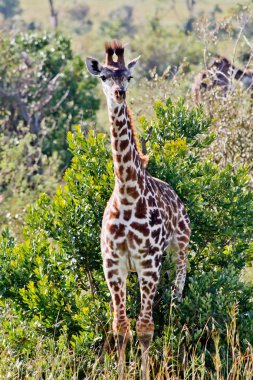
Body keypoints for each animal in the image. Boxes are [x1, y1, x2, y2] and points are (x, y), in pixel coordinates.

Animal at [86, 41, 191, 380]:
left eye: (129, 76)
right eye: (104, 76)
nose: (120, 93)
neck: (128, 194)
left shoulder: (148, 263)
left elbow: (145, 328)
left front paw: (144, 372)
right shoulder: (114, 265)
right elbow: (120, 328)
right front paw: (121, 372)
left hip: (177, 255)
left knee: (173, 305)